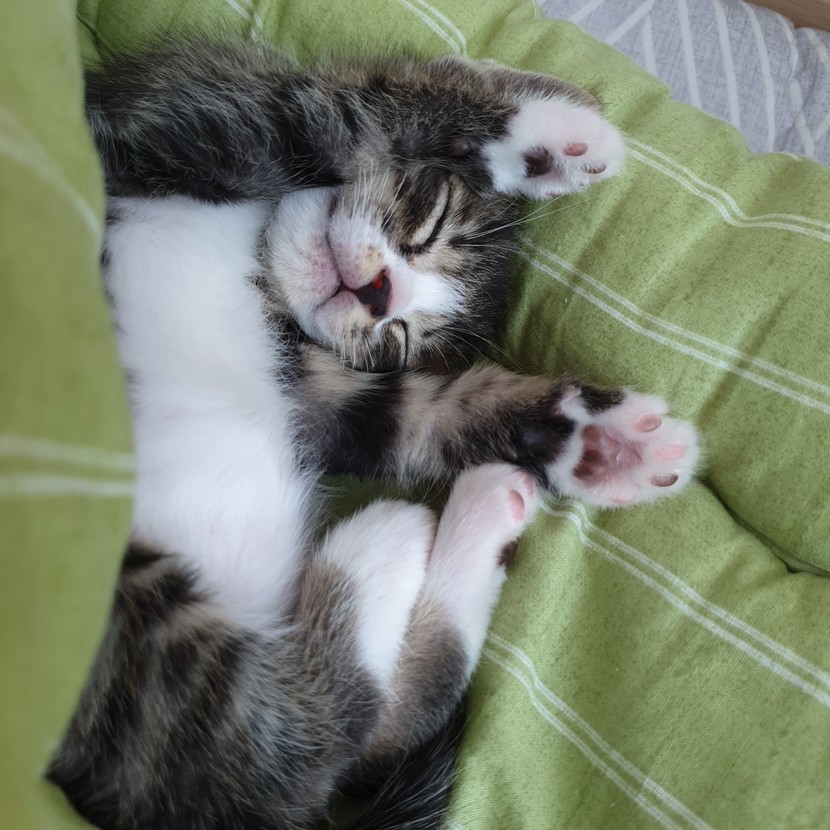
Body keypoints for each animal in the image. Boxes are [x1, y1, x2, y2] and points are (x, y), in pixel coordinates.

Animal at [48, 41, 699, 830]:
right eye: (432, 218)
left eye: (401, 339)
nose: (380, 294)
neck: (259, 255)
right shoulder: (161, 122)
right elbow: (325, 116)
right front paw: (542, 136)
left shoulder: (313, 386)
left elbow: (417, 415)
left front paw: (599, 444)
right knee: (295, 744)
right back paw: (382, 545)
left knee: (352, 738)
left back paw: (477, 522)